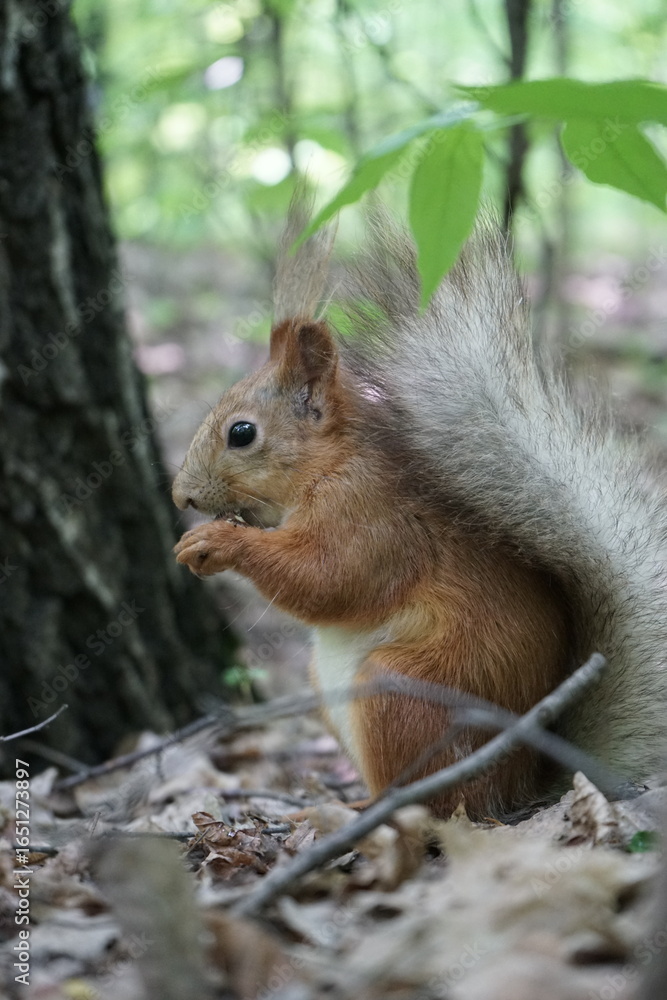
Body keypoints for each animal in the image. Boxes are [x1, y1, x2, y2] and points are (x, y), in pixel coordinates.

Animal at [172, 203, 667, 820]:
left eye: (241, 433)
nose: (181, 496)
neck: (328, 463)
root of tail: (517, 788)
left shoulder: (371, 519)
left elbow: (328, 579)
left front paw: (217, 544)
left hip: (401, 692)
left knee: (430, 802)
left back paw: (360, 812)